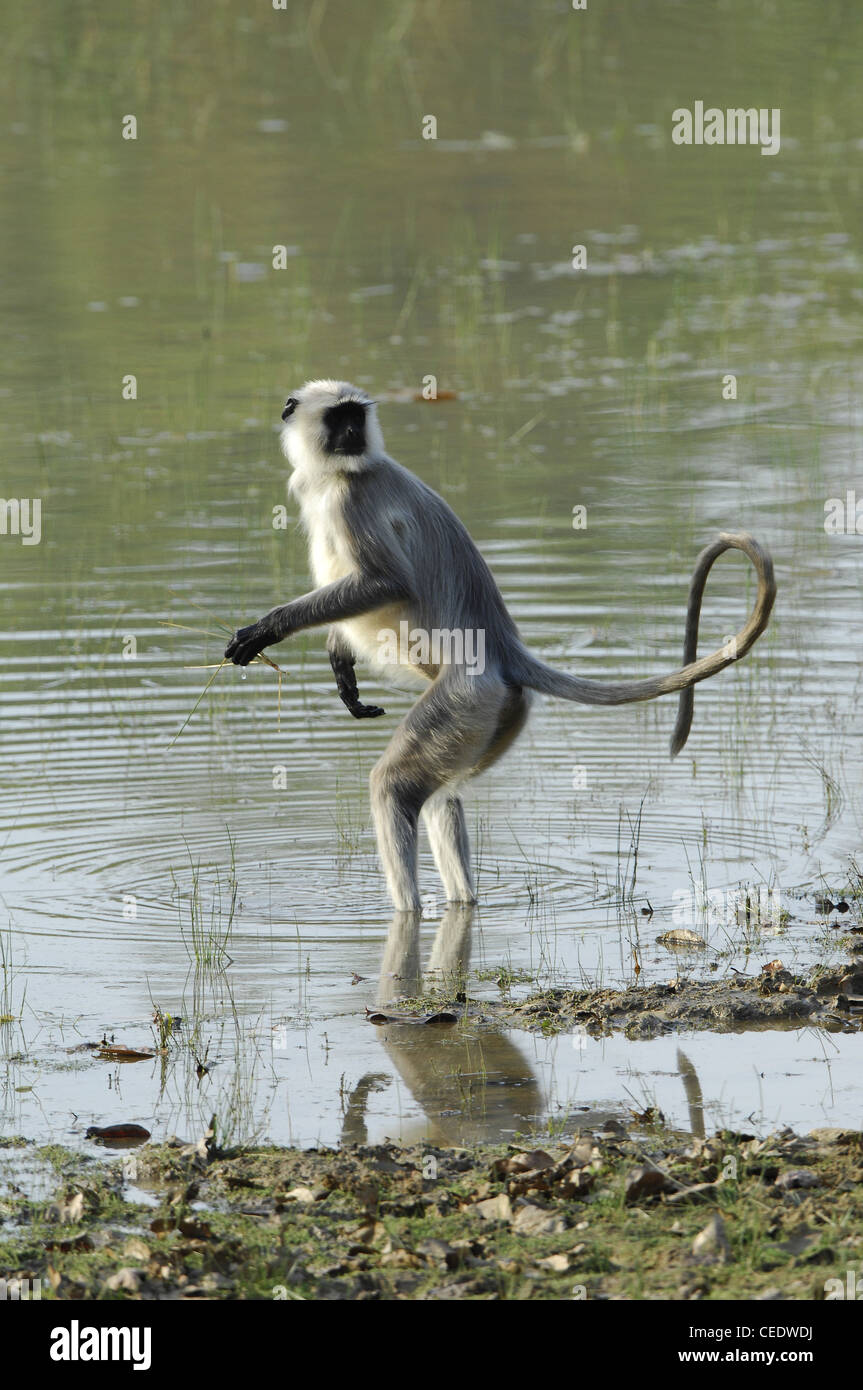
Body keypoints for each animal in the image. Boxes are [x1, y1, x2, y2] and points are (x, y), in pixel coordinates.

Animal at [223, 386, 772, 917]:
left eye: (354, 416)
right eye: (340, 420)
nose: (355, 434)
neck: (342, 471)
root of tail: (504, 649)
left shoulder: (348, 499)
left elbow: (386, 583)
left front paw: (267, 628)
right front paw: (342, 669)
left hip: (467, 697)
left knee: (394, 785)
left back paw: (407, 911)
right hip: (492, 712)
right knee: (442, 794)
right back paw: (462, 898)